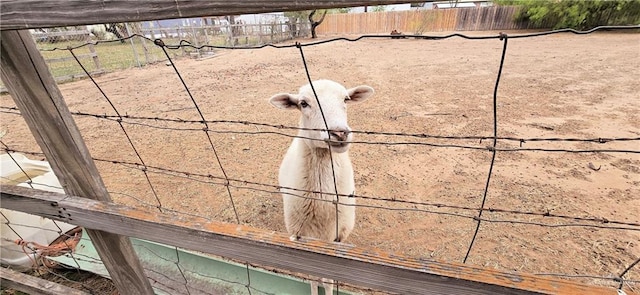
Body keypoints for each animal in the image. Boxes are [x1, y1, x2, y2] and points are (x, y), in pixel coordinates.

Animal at [270, 79, 376, 295]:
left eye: (346, 99)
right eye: (303, 103)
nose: (339, 133)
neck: (321, 201)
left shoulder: (336, 236)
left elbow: (327, 279)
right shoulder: (301, 236)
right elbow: (312, 275)